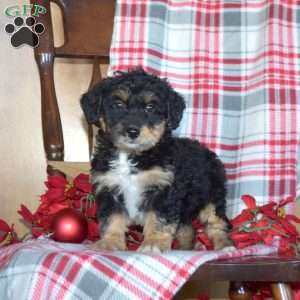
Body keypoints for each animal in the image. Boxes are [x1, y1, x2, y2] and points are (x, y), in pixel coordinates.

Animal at [80, 69, 232, 252]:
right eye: (118, 105)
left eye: (150, 107)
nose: (132, 131)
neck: (131, 155)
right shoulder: (109, 187)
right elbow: (111, 219)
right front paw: (110, 242)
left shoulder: (163, 189)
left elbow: (159, 219)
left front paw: (154, 243)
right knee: (186, 227)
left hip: (212, 194)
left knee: (216, 222)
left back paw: (224, 245)